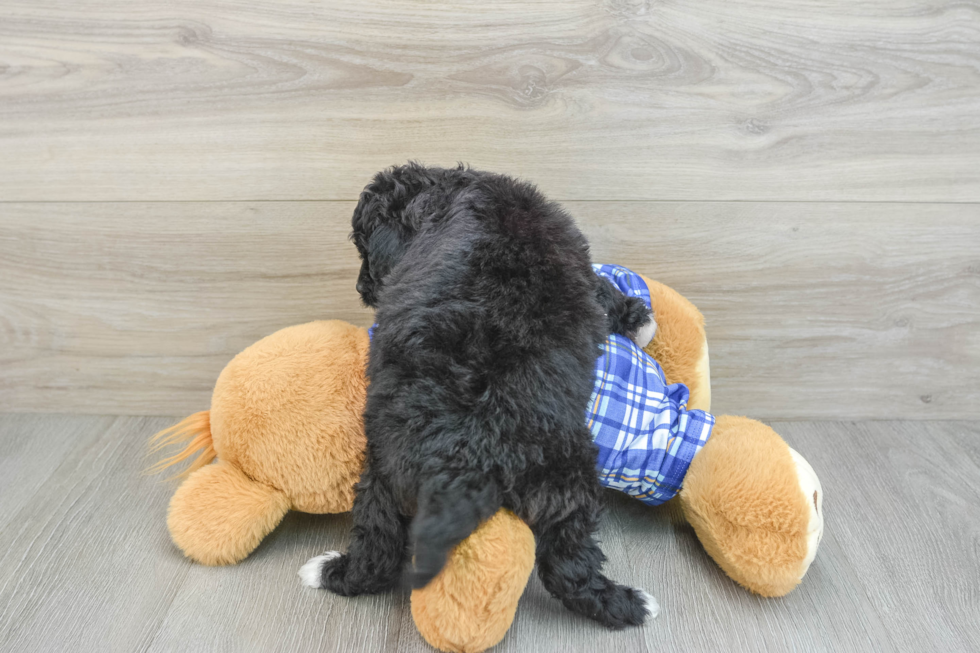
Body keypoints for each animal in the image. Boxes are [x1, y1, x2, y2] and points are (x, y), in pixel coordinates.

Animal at [298, 163, 660, 628]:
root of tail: (466, 453)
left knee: (378, 546)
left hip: (384, 468)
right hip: (565, 477)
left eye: (364, 250)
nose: (363, 287)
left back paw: (329, 570)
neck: (440, 192)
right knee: (568, 565)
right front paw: (639, 319)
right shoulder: (578, 260)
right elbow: (601, 289)